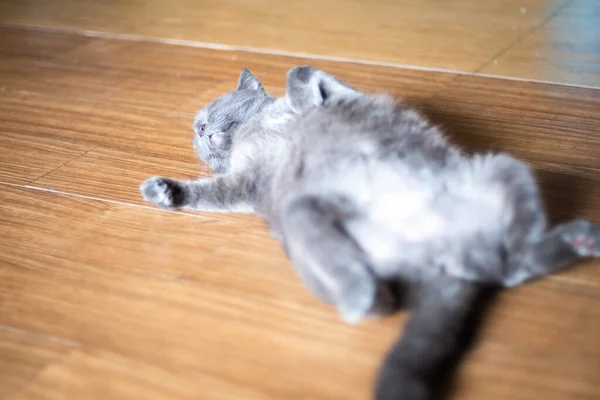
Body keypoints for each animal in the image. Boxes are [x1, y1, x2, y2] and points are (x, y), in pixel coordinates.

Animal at [142, 66, 600, 400]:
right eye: (197, 131)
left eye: (209, 114)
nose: (199, 131)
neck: (257, 128)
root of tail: (444, 260)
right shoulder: (248, 184)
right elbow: (212, 191)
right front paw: (164, 191)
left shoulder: (338, 100)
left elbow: (301, 72)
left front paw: (305, 100)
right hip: (301, 213)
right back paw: (361, 295)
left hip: (505, 166)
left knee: (513, 264)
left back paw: (579, 237)